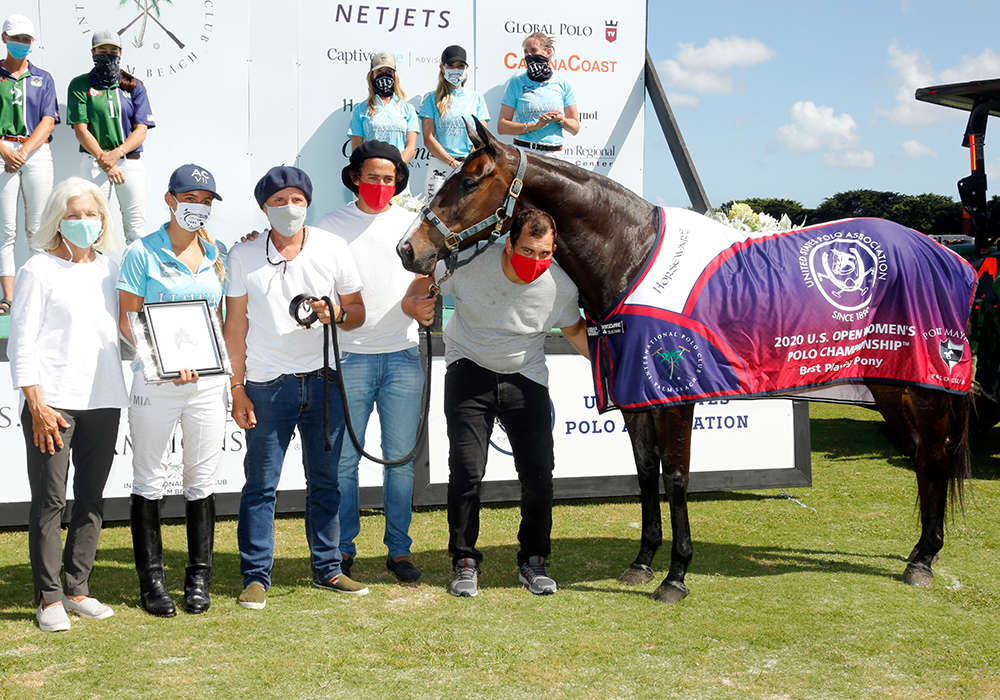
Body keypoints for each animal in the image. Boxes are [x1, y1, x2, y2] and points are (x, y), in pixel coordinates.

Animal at [396, 119, 968, 600]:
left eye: (470, 181)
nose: (408, 250)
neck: (631, 256)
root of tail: (945, 254)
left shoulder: (675, 397)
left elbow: (675, 476)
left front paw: (675, 575)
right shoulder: (635, 397)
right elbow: (644, 473)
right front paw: (643, 562)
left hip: (926, 389)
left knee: (933, 458)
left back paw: (924, 560)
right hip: (891, 388)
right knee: (922, 457)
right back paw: (919, 554)